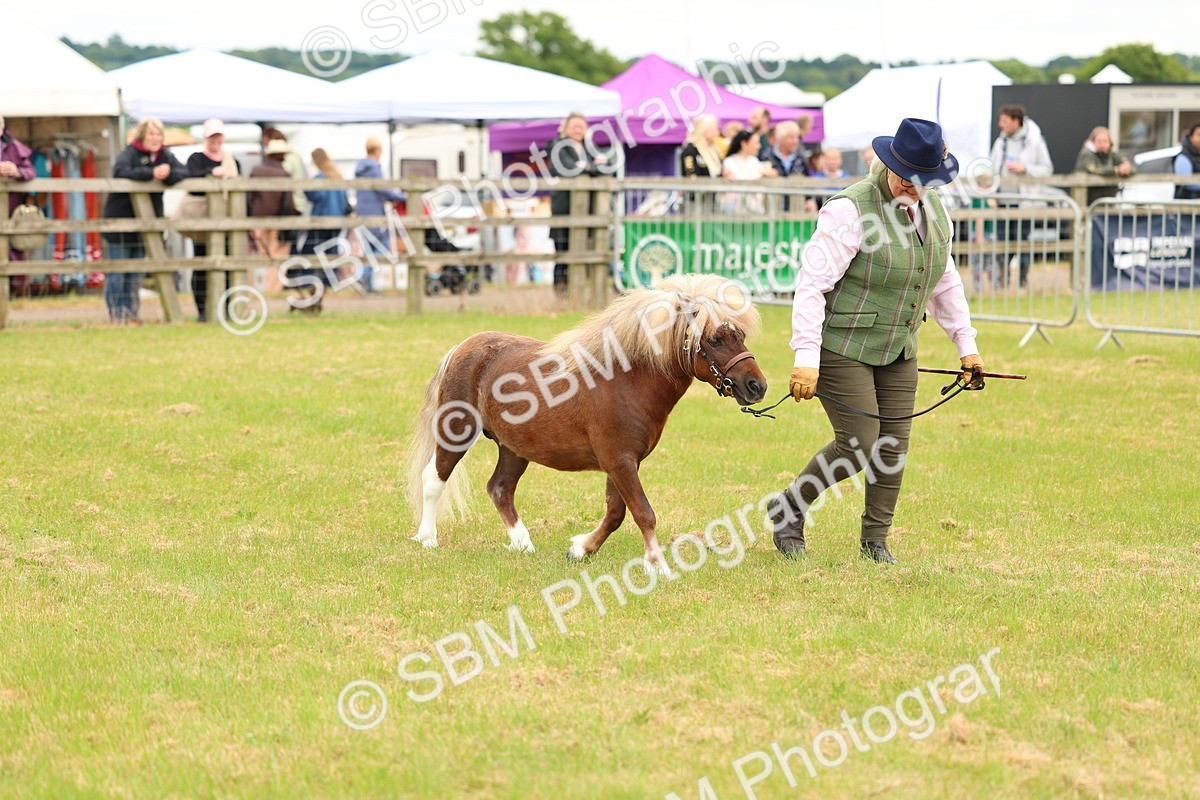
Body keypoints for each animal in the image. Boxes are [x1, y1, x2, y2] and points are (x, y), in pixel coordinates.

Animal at [406, 274, 768, 573]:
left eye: (740, 334)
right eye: (715, 339)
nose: (757, 386)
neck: (625, 380)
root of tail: (462, 348)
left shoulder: (624, 462)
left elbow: (616, 513)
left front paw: (581, 549)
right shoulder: (619, 461)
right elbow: (642, 512)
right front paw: (657, 564)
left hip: (513, 448)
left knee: (500, 489)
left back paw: (523, 544)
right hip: (457, 432)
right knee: (434, 480)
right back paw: (428, 538)